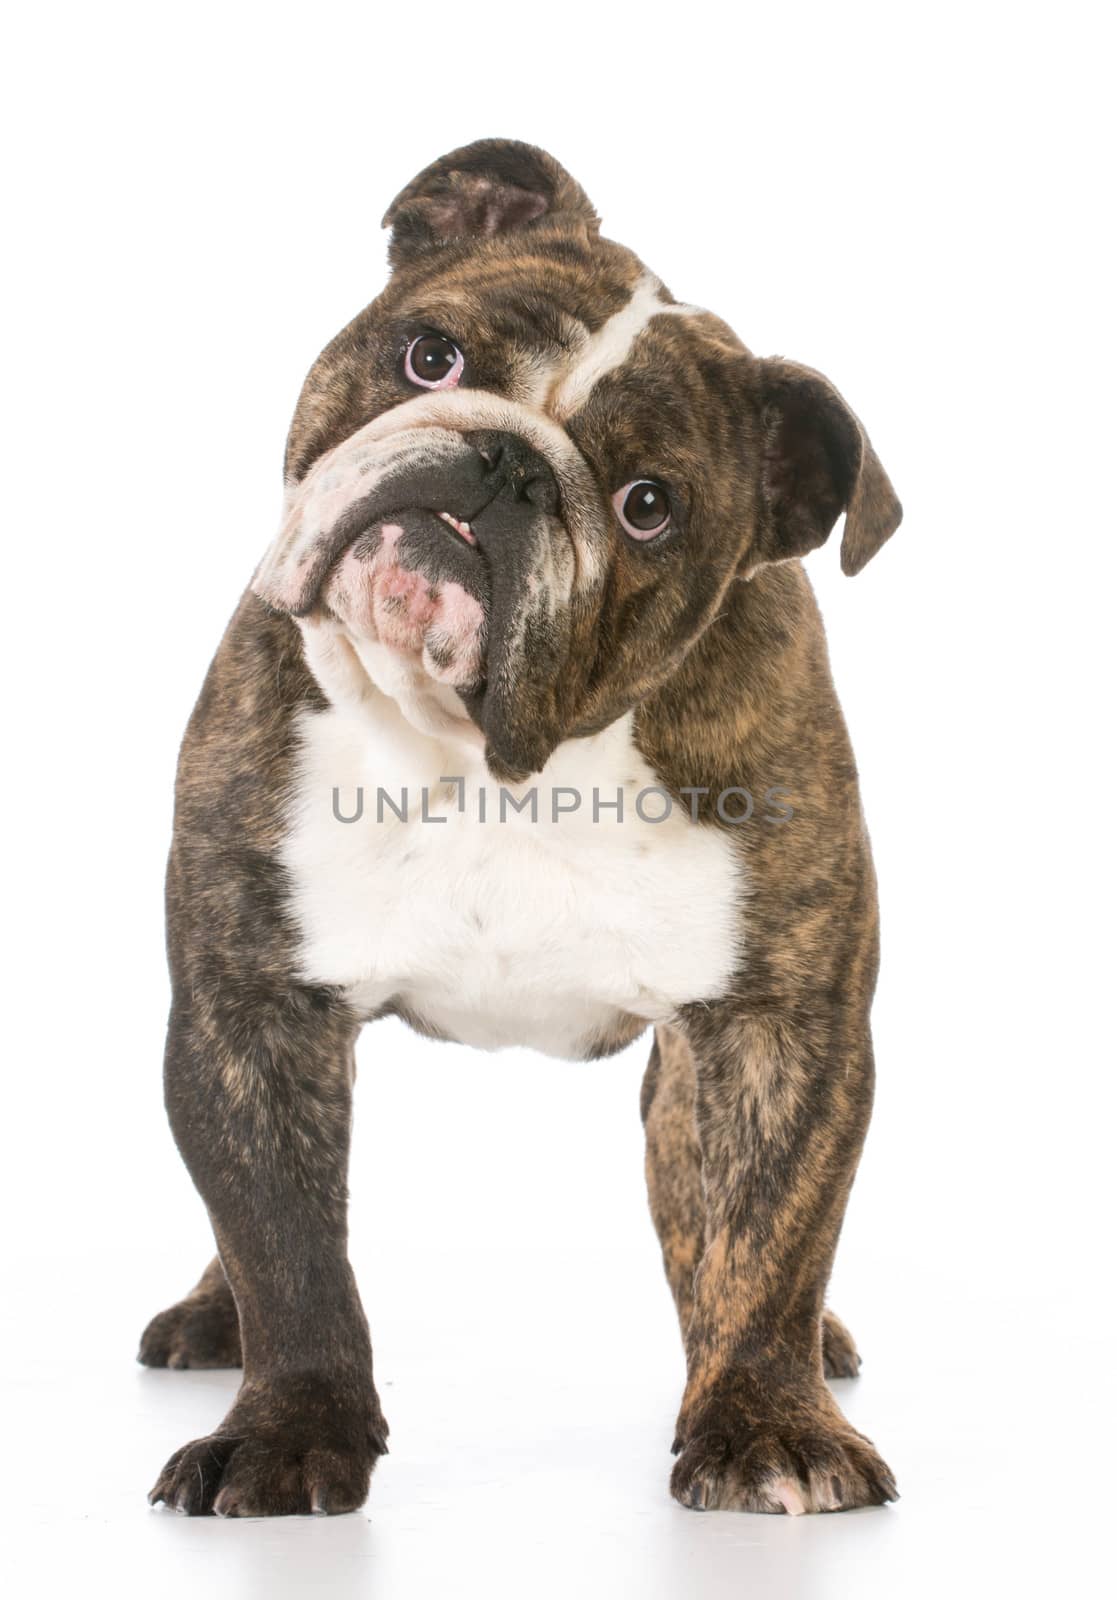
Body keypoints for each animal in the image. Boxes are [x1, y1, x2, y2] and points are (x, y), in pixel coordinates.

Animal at [139, 134, 902, 1510]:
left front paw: (766, 1419)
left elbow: (766, 1239)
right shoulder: (250, 1008)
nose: (504, 462)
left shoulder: (773, 1032)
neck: (492, 758)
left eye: (649, 503)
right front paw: (291, 1426)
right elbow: (286, 1246)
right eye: (430, 356)